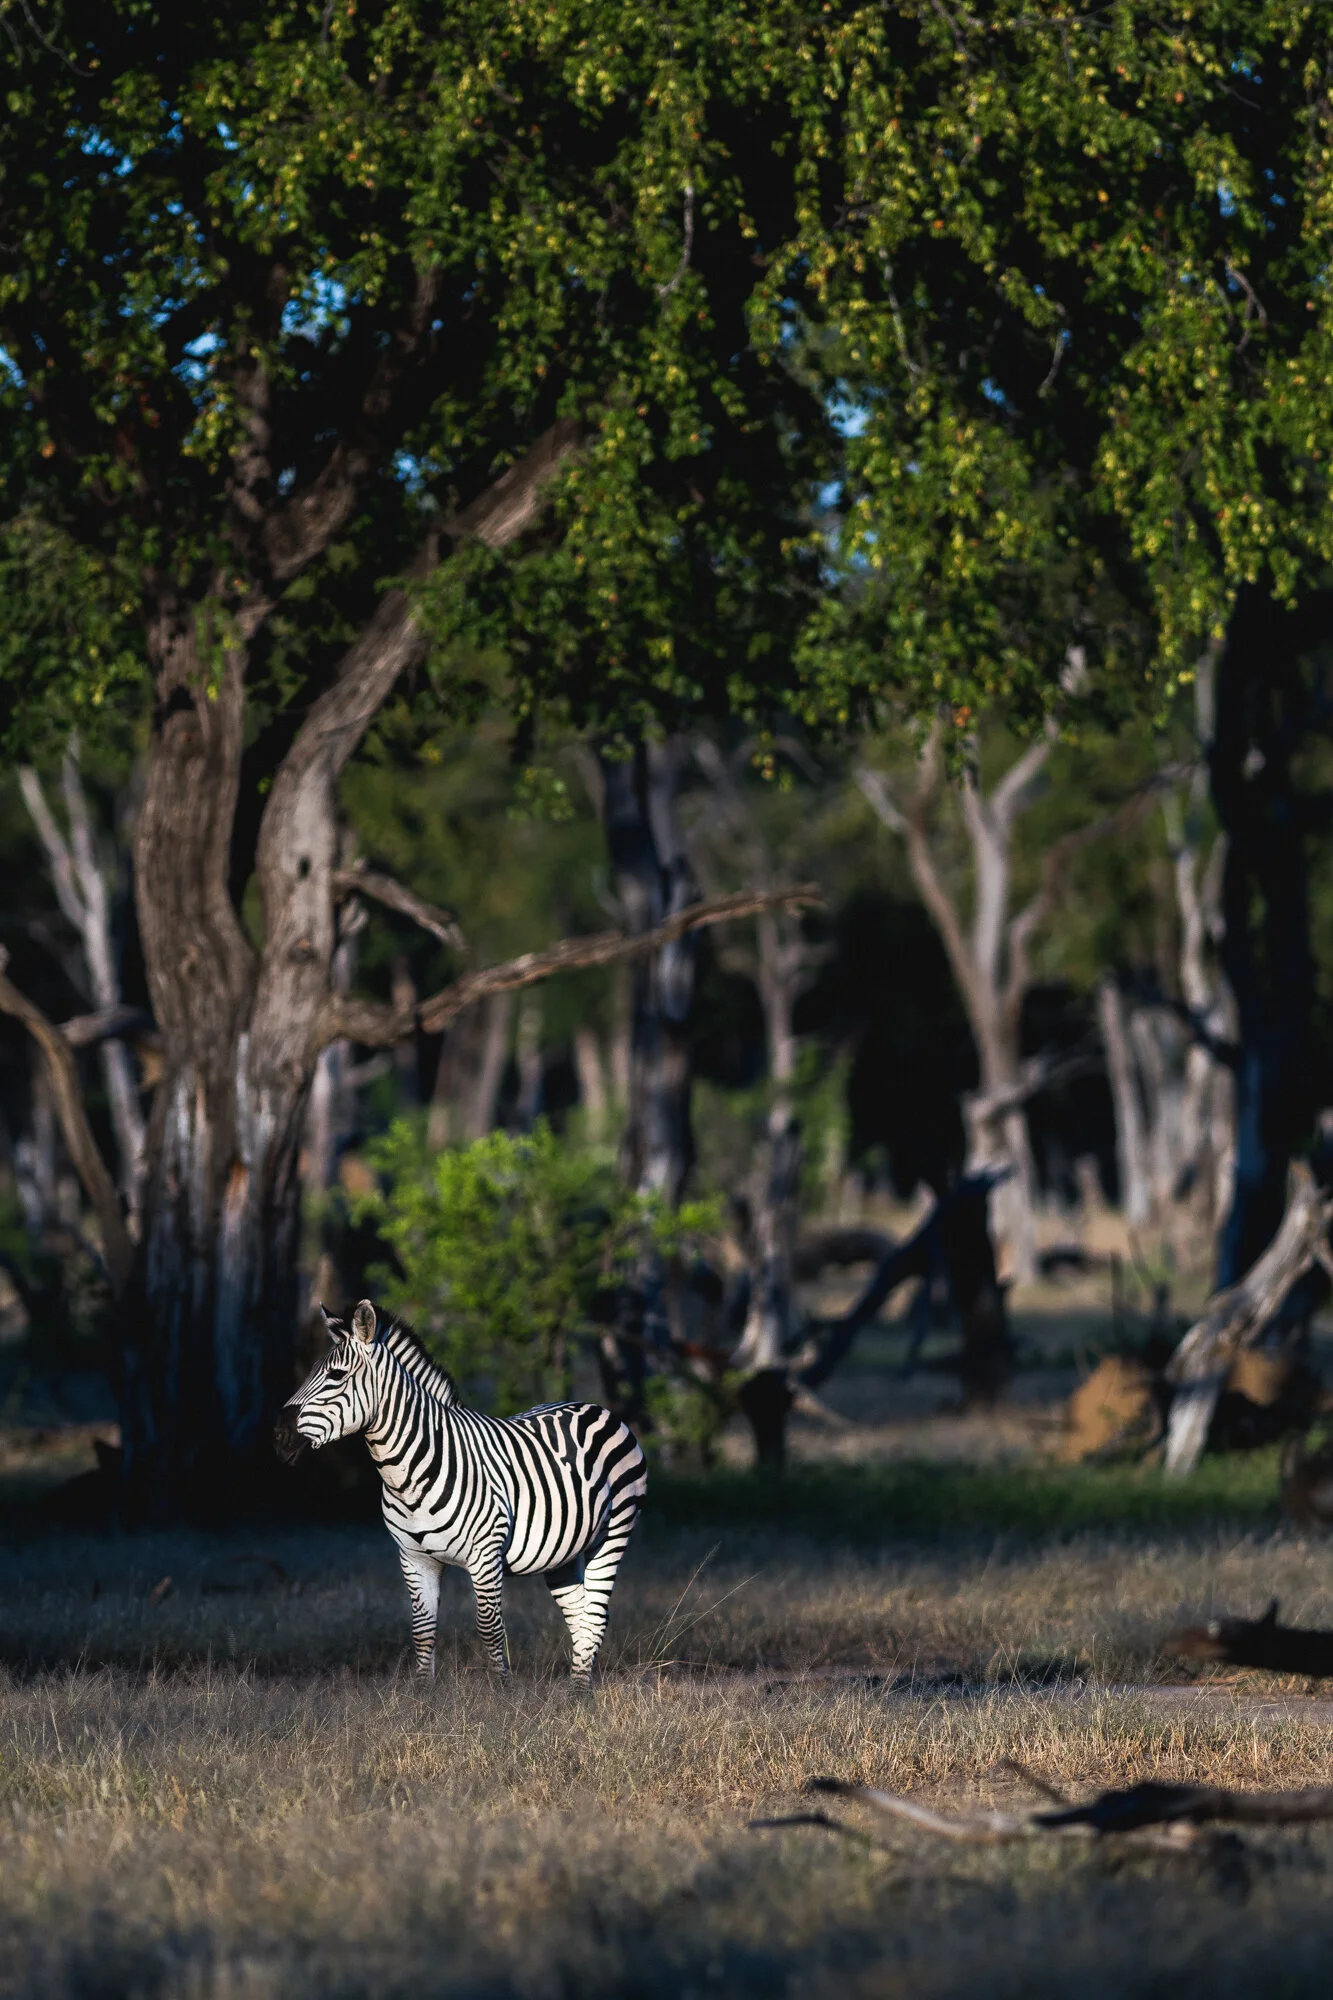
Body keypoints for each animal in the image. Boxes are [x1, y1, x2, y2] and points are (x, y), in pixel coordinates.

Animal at [274, 1300, 647, 1686]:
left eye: (336, 1376)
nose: (279, 1437)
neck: (407, 1473)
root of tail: (594, 1406)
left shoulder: (485, 1555)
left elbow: (490, 1627)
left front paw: (503, 1692)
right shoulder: (414, 1557)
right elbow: (422, 1629)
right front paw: (423, 1692)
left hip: (613, 1533)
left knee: (596, 1615)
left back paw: (578, 1690)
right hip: (563, 1552)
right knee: (580, 1616)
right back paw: (576, 1691)